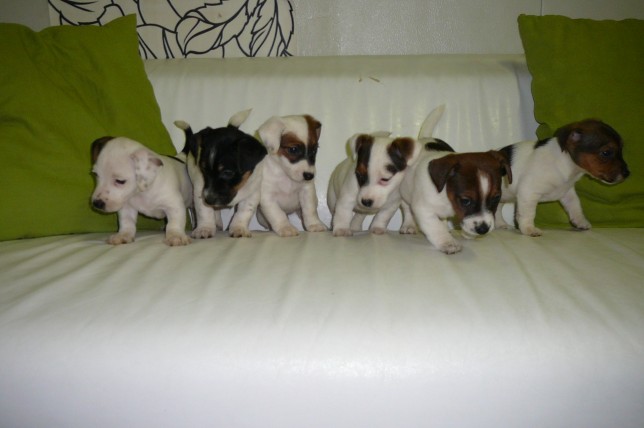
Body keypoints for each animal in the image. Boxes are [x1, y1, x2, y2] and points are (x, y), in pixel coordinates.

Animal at [174, 108, 266, 239]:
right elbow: (204, 211)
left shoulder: (252, 193)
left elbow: (244, 212)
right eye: (204, 169)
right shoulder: (200, 189)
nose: (208, 200)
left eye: (227, 172)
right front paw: (205, 228)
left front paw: (239, 228)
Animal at [498, 118, 628, 236]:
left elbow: (576, 207)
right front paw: (528, 229)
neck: (566, 164)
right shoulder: (528, 193)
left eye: (622, 149)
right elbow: (527, 214)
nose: (627, 173)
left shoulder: (568, 193)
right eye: (606, 153)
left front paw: (580, 222)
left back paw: (502, 225)